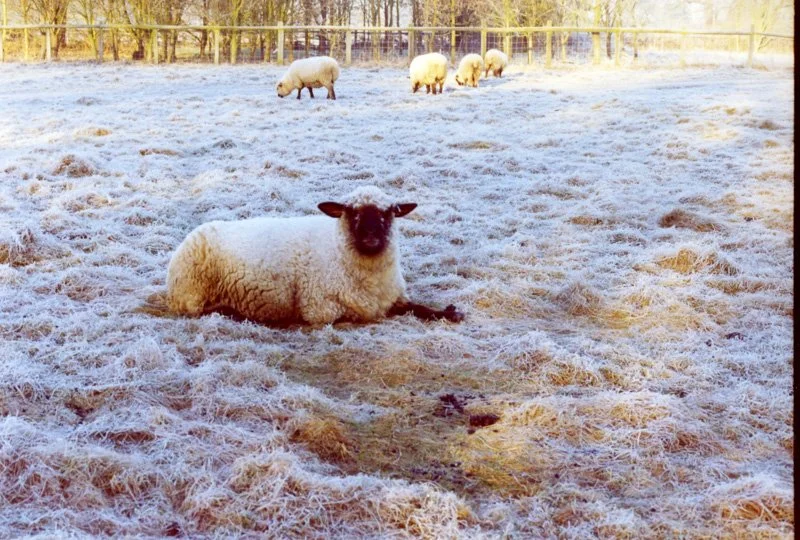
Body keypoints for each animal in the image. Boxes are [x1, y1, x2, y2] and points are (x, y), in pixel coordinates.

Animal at [166, 186, 464, 325]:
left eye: (387, 212)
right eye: (352, 213)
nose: (371, 237)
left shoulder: (393, 296)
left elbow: (417, 307)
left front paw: (448, 313)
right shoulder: (320, 308)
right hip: (193, 294)